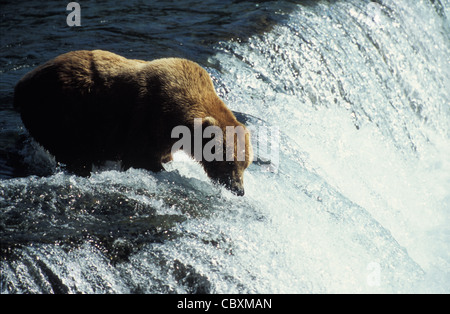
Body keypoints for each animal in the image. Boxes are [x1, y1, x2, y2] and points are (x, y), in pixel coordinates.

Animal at [14, 50, 251, 195]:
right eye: (229, 161)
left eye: (245, 164)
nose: (239, 189)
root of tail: (22, 82)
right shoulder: (148, 119)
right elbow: (140, 157)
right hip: (60, 113)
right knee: (73, 152)